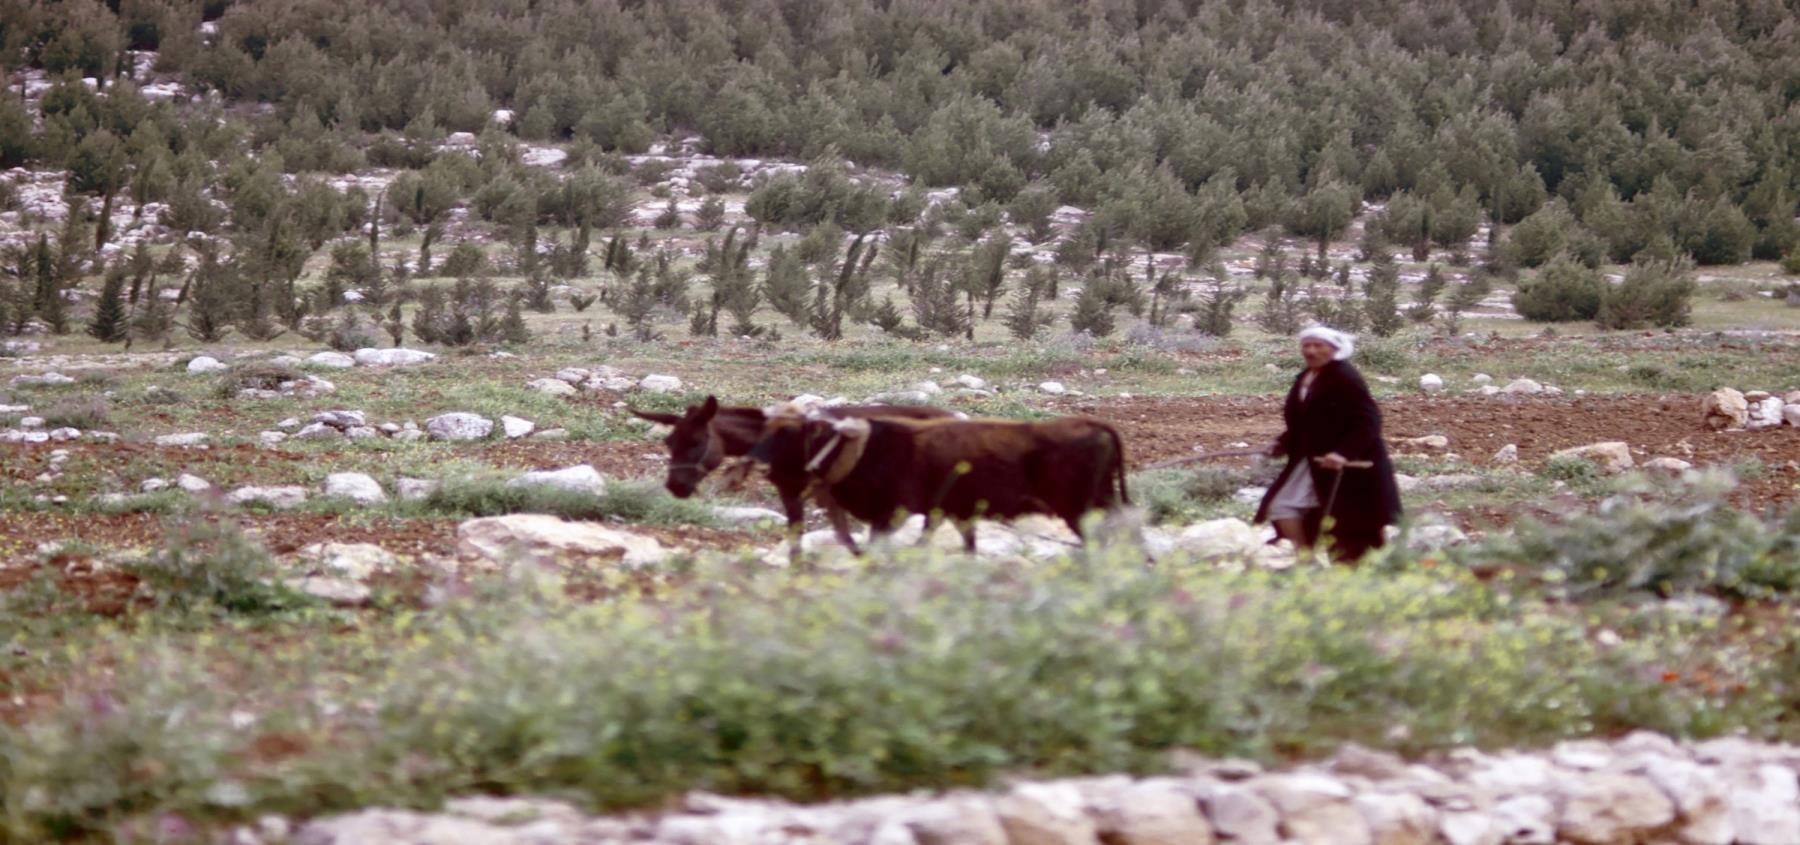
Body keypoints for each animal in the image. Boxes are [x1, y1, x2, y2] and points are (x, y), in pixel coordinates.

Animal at [630, 396, 953, 553]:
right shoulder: (793, 494)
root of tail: (952, 415)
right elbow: (802, 543)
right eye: (669, 442)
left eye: (696, 442)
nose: (675, 486)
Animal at [748, 411, 1131, 553]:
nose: (755, 462)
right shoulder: (949, 513)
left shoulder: (891, 514)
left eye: (788, 432)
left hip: (1081, 510)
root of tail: (1089, 423)